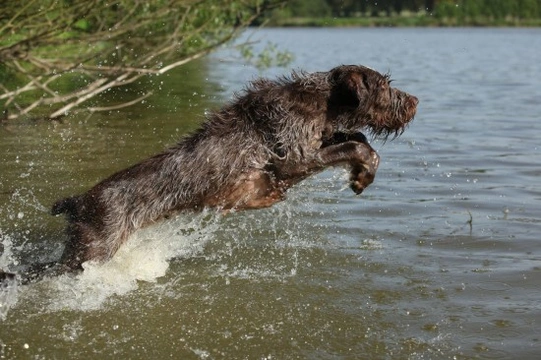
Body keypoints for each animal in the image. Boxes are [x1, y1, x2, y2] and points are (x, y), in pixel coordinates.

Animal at [0, 64, 418, 284]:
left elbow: (355, 137)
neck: (320, 102)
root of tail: (77, 202)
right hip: (89, 253)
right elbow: (357, 145)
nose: (414, 101)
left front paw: (361, 171)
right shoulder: (294, 159)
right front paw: (364, 171)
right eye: (385, 87)